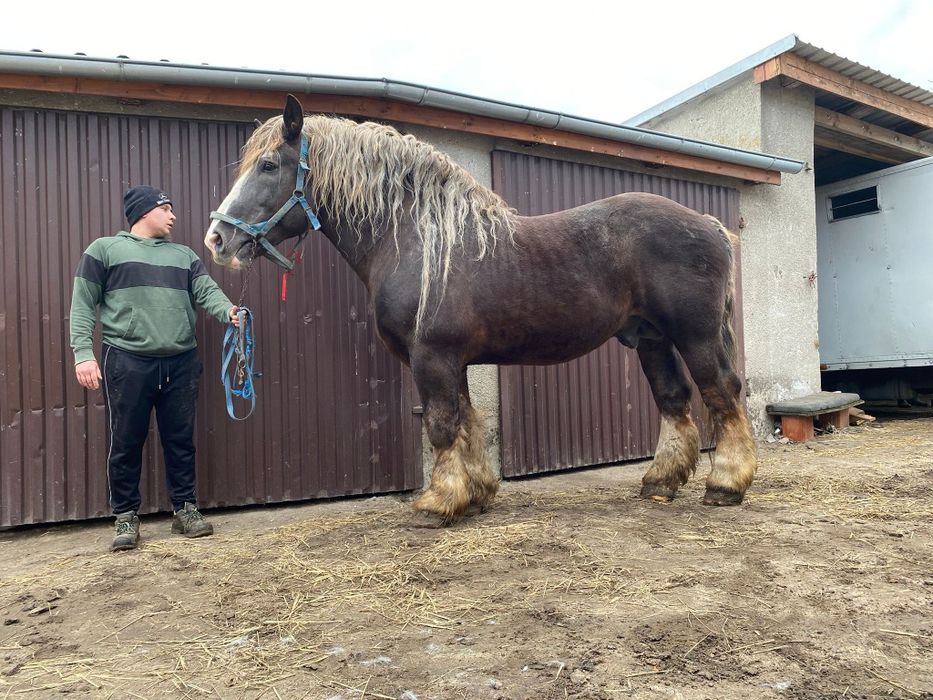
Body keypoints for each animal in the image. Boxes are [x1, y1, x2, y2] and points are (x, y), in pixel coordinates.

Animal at [204, 94, 756, 524]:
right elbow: (468, 421)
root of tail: (709, 224)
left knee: (722, 392)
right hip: (651, 338)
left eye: (269, 165)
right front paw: (476, 495)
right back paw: (659, 482)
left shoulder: (433, 357)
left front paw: (437, 503)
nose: (217, 238)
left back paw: (726, 485)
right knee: (673, 398)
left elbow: (443, 424)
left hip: (695, 334)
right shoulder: (453, 361)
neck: (417, 239)